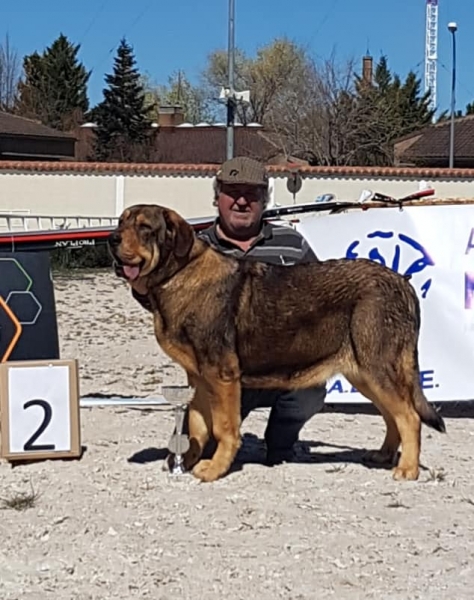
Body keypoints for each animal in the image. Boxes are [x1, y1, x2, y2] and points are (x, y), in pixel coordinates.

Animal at [107, 203, 444, 482]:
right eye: (121, 221)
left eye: (144, 227)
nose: (111, 239)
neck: (178, 273)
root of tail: (402, 282)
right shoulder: (198, 378)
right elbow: (197, 426)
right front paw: (186, 459)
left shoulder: (221, 375)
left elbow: (222, 428)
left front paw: (215, 468)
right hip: (364, 373)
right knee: (392, 416)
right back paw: (384, 455)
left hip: (377, 368)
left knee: (409, 417)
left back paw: (407, 469)